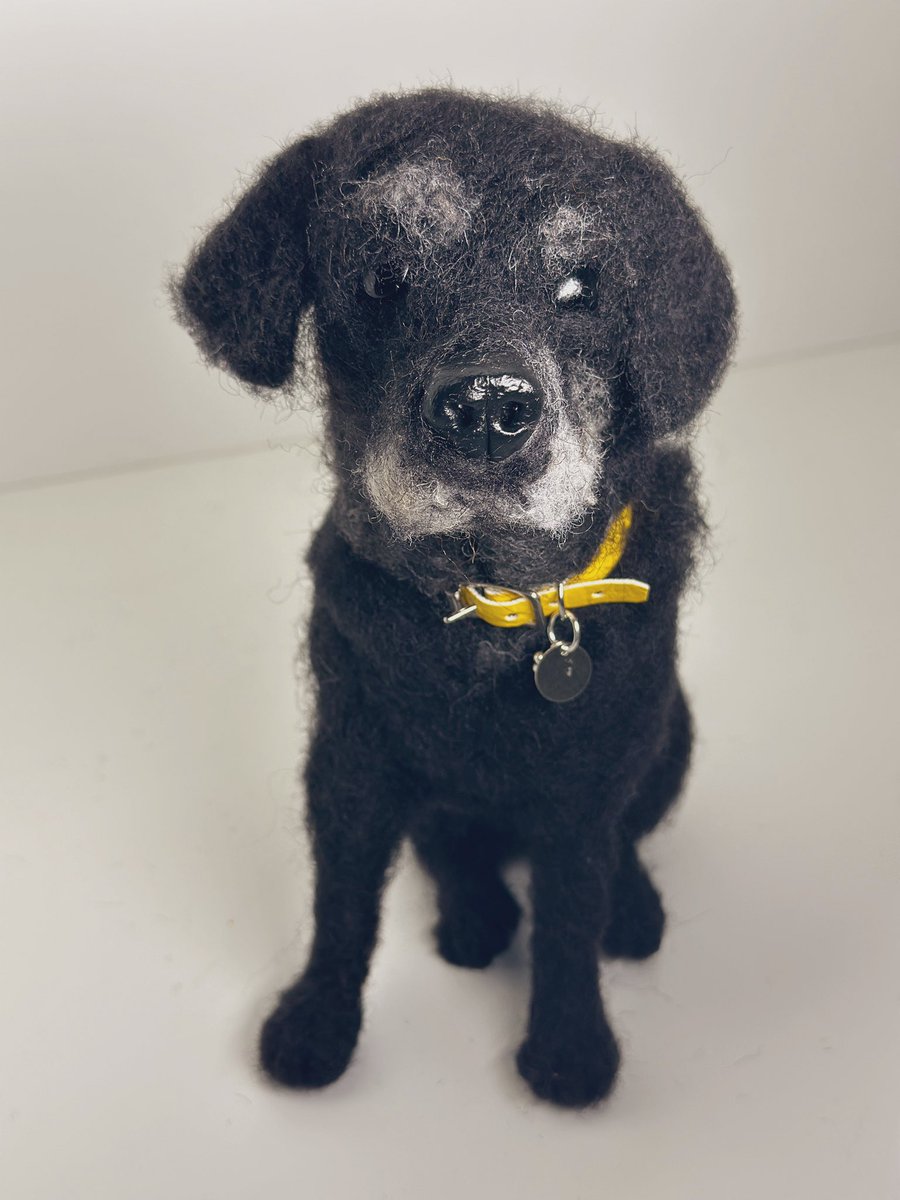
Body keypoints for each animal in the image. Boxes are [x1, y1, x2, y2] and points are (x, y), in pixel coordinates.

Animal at [176, 88, 739, 1108]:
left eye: (582, 287)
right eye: (384, 276)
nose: (487, 408)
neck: (492, 605)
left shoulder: (585, 783)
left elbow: (571, 912)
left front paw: (568, 1049)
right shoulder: (349, 767)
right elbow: (342, 909)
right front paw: (317, 1022)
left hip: (669, 736)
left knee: (626, 845)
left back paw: (632, 910)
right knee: (453, 852)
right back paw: (475, 918)